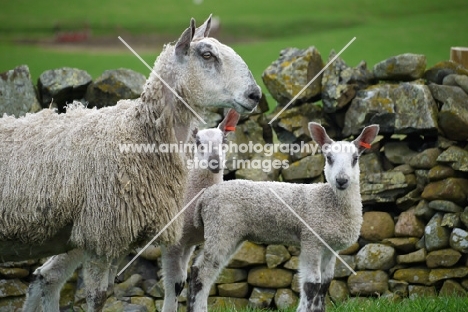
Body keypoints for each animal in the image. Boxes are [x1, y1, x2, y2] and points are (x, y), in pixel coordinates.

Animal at [162, 108, 241, 312]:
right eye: (198, 142)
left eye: (224, 140)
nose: (215, 162)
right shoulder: (173, 242)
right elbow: (174, 283)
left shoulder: (188, 242)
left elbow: (183, 280)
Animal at [188, 122, 378, 312]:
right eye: (329, 158)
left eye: (355, 158)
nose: (341, 180)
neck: (329, 202)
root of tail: (205, 197)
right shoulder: (311, 240)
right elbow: (311, 286)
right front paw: (303, 309)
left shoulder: (331, 248)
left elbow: (324, 285)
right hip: (221, 227)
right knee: (201, 273)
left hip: (230, 233)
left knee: (201, 270)